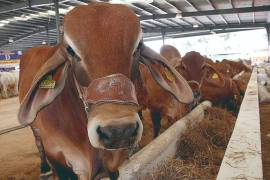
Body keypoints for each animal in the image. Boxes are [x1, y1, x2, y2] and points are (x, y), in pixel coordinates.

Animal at [17, 3, 193, 180]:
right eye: (70, 50)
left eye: (138, 47)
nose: (119, 131)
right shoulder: (58, 158)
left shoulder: (113, 163)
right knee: (38, 143)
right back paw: (44, 169)